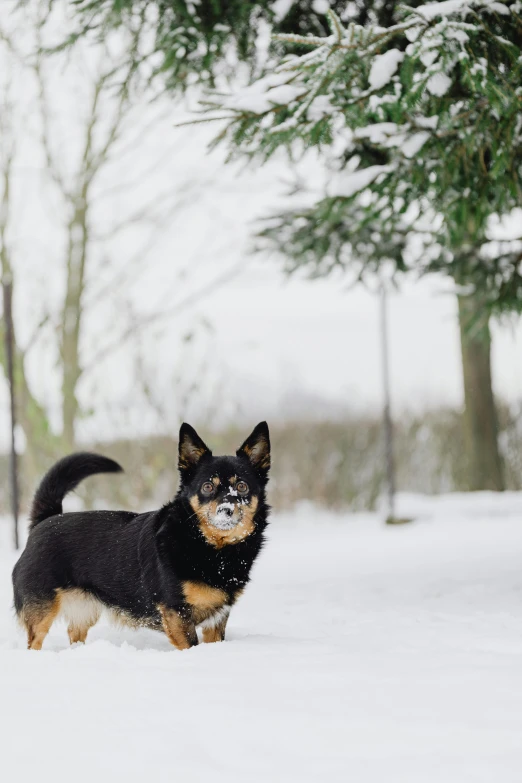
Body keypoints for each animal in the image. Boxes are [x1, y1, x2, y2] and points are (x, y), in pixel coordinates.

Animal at [11, 426, 270, 652]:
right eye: (207, 487)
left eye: (242, 486)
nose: (227, 510)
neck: (212, 548)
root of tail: (45, 520)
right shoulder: (177, 614)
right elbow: (190, 646)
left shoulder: (217, 620)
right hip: (42, 612)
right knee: (34, 641)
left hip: (85, 611)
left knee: (74, 634)